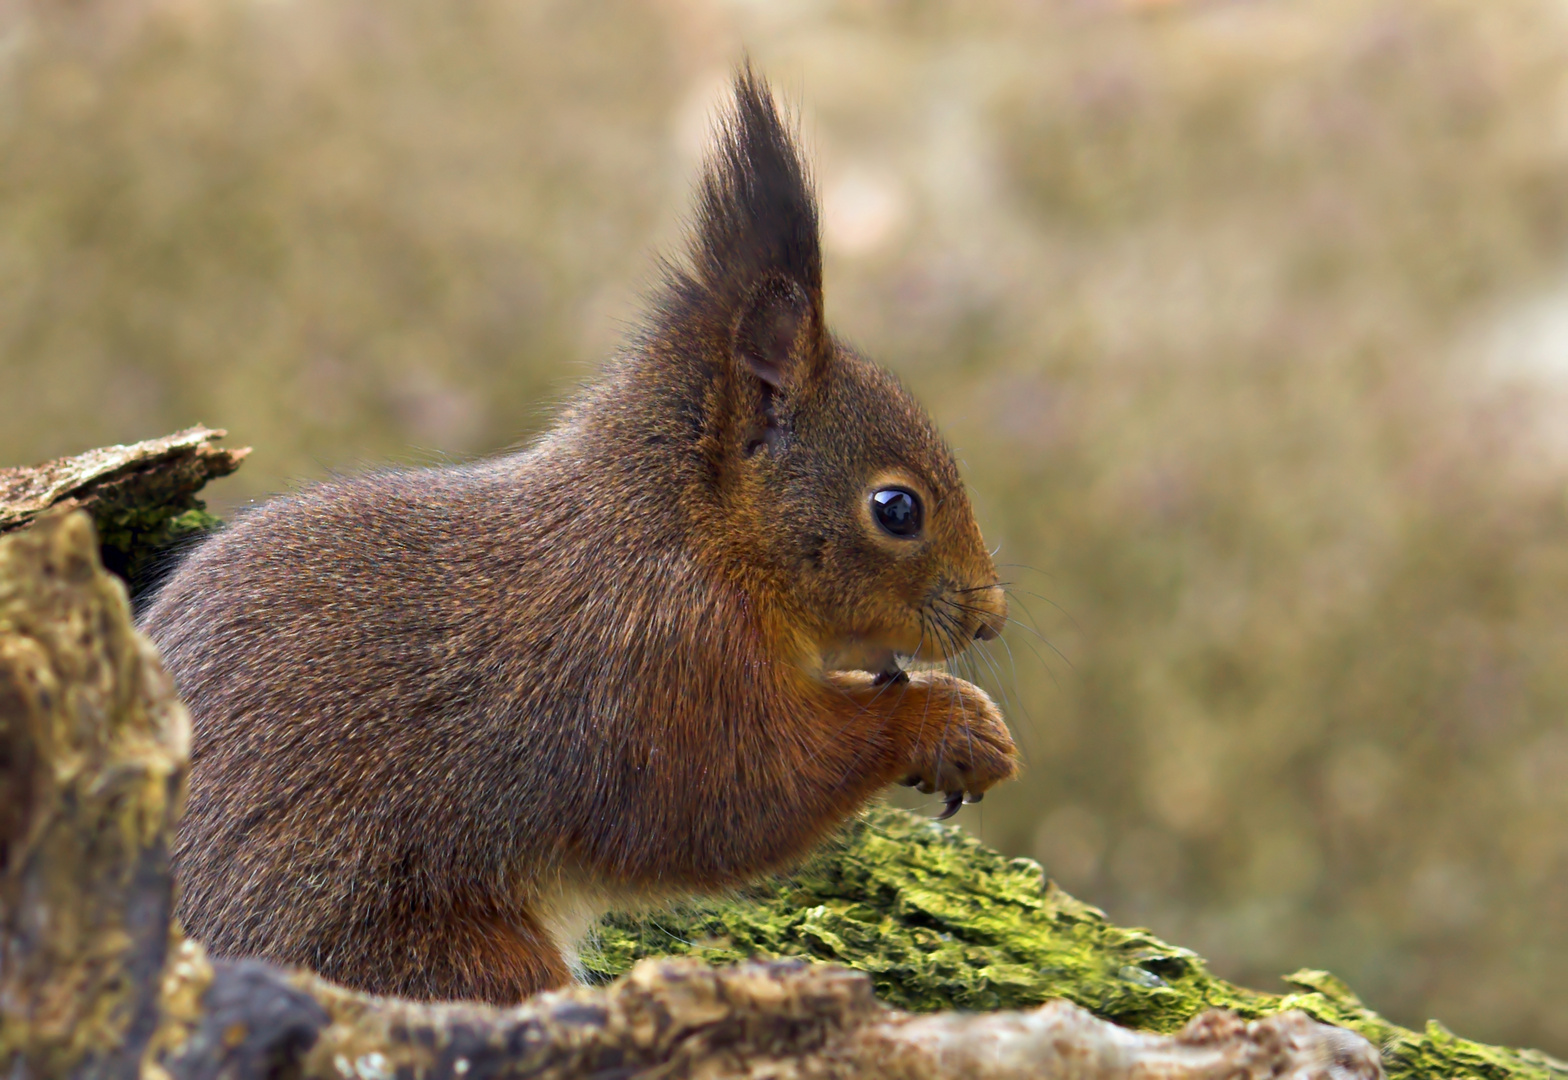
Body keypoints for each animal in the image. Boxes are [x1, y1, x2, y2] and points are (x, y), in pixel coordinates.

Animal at [141, 71, 1022, 1009]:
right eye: (896, 509)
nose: (991, 618)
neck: (685, 530)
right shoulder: (658, 669)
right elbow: (737, 800)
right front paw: (946, 721)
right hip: (431, 960)